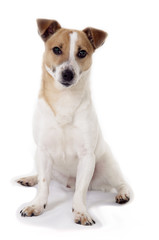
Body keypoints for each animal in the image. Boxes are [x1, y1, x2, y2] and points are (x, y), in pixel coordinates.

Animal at [17, 18, 131, 225]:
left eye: (82, 53)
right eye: (56, 50)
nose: (68, 74)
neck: (64, 99)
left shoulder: (86, 157)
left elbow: (81, 190)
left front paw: (80, 212)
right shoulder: (43, 151)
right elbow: (44, 184)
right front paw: (37, 205)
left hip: (107, 166)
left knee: (121, 183)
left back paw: (123, 194)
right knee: (44, 176)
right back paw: (30, 178)